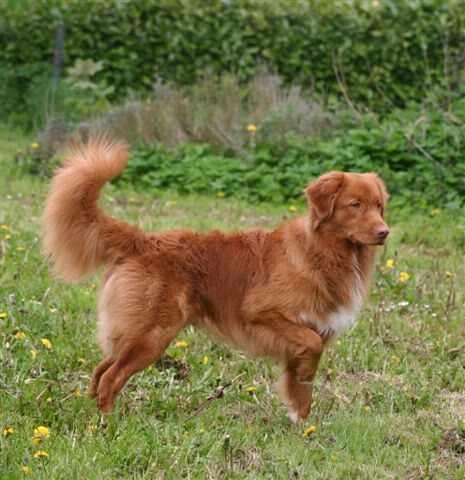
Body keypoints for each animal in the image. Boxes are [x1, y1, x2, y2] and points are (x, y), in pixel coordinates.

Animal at [42, 138, 388, 420]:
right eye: (354, 205)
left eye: (379, 205)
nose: (385, 232)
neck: (323, 252)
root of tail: (143, 240)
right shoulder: (263, 313)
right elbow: (311, 347)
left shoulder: (311, 330)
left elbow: (303, 380)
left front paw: (302, 424)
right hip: (153, 335)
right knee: (111, 377)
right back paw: (108, 423)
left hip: (136, 333)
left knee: (101, 369)